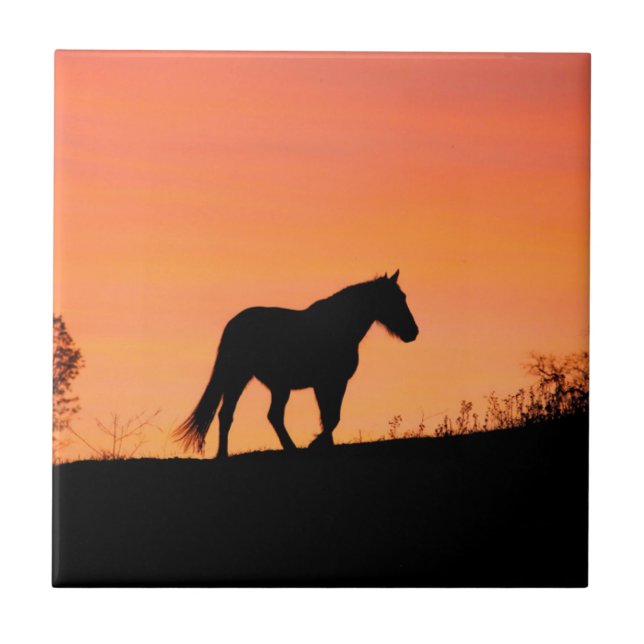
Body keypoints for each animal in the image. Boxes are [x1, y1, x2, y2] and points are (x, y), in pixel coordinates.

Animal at [173, 270, 419, 458]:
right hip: (240, 377)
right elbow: (331, 417)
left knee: (266, 415)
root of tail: (234, 324)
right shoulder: (326, 383)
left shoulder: (335, 383)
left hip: (274, 386)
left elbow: (329, 416)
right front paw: (314, 444)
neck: (337, 328)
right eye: (394, 299)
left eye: (403, 296)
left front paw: (326, 446)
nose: (413, 332)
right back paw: (228, 454)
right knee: (234, 414)